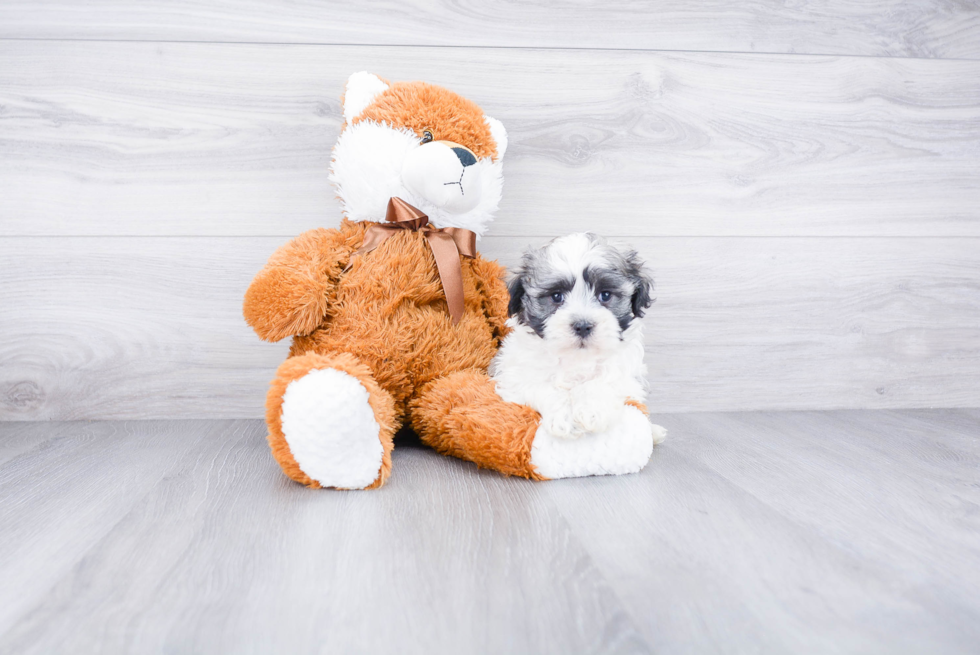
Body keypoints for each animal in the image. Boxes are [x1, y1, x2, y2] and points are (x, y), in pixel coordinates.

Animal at [490, 233, 668, 480]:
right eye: (556, 296)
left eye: (605, 295)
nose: (583, 325)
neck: (576, 357)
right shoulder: (514, 376)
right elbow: (544, 388)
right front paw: (564, 417)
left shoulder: (628, 376)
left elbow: (603, 382)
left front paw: (591, 410)